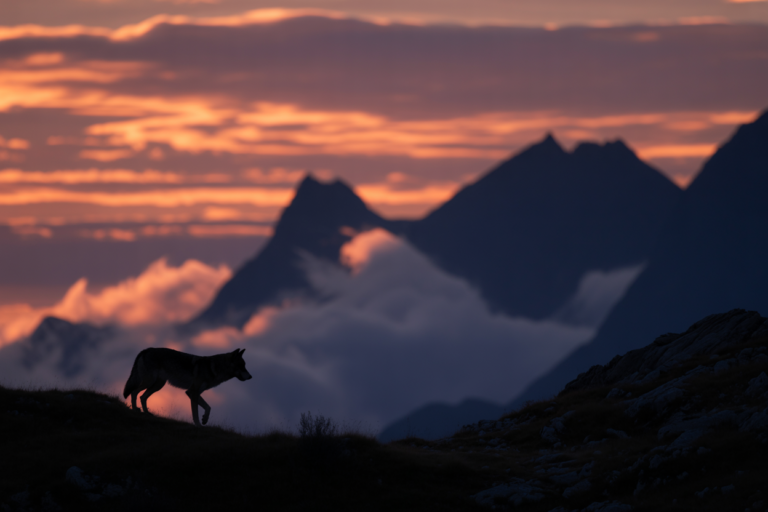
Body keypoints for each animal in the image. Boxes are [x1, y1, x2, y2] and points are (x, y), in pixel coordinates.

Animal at [123, 347, 252, 426]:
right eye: (242, 366)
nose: (251, 377)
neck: (214, 368)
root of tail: (147, 349)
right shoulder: (192, 392)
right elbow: (195, 413)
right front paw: (199, 425)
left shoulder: (195, 393)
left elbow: (208, 407)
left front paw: (205, 419)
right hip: (150, 382)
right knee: (134, 392)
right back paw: (135, 410)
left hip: (157, 386)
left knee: (143, 397)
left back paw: (147, 413)